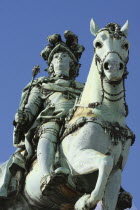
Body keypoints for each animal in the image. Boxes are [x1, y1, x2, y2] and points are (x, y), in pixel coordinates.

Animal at [0, 18, 134, 209]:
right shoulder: (77, 159)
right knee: (48, 133)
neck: (107, 117)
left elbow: (108, 179)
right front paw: (85, 201)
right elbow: (105, 161)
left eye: (125, 44)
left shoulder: (116, 173)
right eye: (98, 44)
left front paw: (86, 200)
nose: (114, 67)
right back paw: (50, 179)